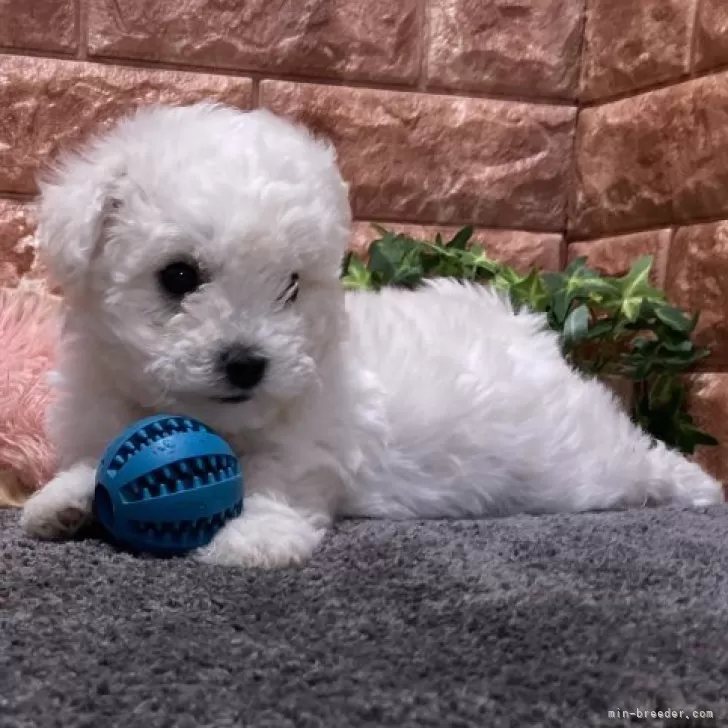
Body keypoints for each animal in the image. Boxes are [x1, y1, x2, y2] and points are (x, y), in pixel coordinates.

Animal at [19, 102, 724, 568]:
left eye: (291, 286)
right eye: (179, 276)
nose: (248, 364)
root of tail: (526, 328)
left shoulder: (311, 435)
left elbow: (279, 479)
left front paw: (255, 538)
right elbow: (95, 458)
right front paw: (63, 501)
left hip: (579, 461)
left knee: (640, 457)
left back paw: (698, 488)